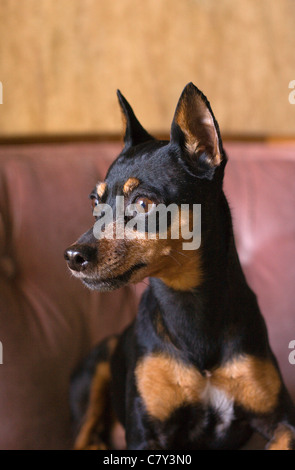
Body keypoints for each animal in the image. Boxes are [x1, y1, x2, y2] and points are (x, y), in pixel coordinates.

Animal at [65, 82, 295, 450]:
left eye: (144, 203)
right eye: (94, 203)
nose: (73, 256)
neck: (188, 303)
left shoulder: (281, 422)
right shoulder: (145, 436)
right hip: (97, 369)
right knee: (84, 436)